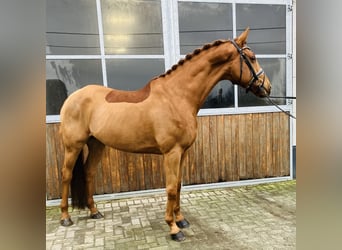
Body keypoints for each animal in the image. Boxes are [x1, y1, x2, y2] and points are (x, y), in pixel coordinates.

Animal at [59, 27, 272, 240]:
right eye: (252, 58)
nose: (267, 87)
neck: (176, 97)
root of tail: (72, 97)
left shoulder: (183, 152)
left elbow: (177, 186)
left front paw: (181, 220)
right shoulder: (171, 153)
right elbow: (170, 189)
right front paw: (173, 228)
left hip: (96, 143)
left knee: (89, 173)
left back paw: (94, 212)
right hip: (73, 146)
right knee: (66, 175)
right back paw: (65, 217)